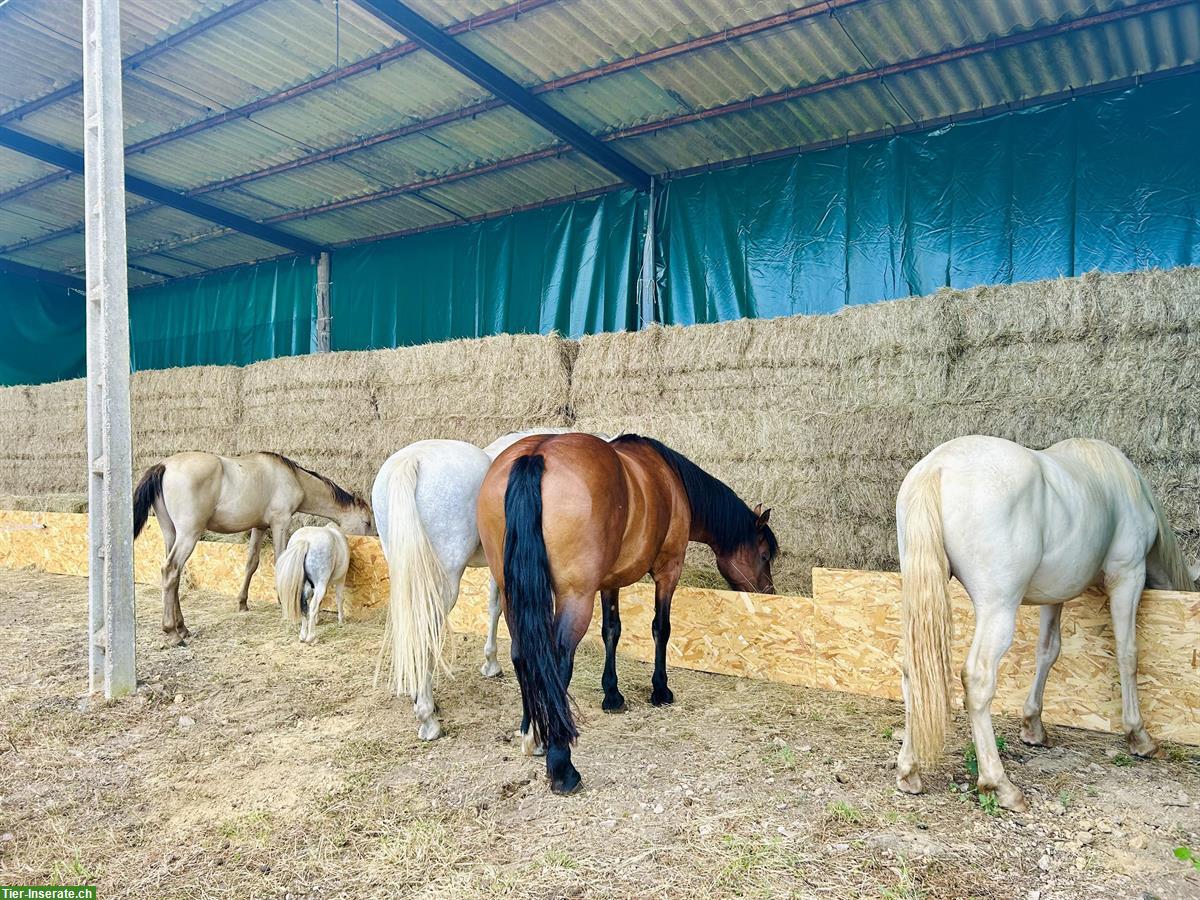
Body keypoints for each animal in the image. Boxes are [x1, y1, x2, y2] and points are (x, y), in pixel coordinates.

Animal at [133, 453, 372, 643]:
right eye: (367, 522)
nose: (371, 539)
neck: (294, 478)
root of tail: (163, 465)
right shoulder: (280, 523)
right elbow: (279, 560)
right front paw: (282, 603)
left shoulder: (259, 527)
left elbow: (251, 564)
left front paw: (242, 603)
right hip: (188, 534)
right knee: (170, 570)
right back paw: (172, 632)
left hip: (171, 534)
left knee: (173, 577)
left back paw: (182, 627)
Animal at [367, 429, 588, 739]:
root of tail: (411, 461)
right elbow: (498, 608)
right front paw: (492, 664)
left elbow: (494, 608)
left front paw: (490, 663)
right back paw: (427, 716)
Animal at [472, 436, 772, 796]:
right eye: (765, 554)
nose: (769, 591)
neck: (671, 480)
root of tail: (536, 455)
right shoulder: (668, 570)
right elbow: (661, 628)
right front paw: (660, 690)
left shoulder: (609, 582)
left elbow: (611, 631)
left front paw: (612, 695)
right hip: (575, 597)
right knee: (556, 659)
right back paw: (562, 765)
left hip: (511, 592)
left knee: (523, 654)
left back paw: (533, 732)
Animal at [897, 434, 1195, 816]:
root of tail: (938, 467)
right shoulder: (1128, 576)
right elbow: (1127, 654)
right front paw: (1139, 736)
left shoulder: (1055, 594)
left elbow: (1048, 652)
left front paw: (1033, 726)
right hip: (998, 606)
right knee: (977, 679)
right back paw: (1000, 784)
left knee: (913, 671)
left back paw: (909, 771)